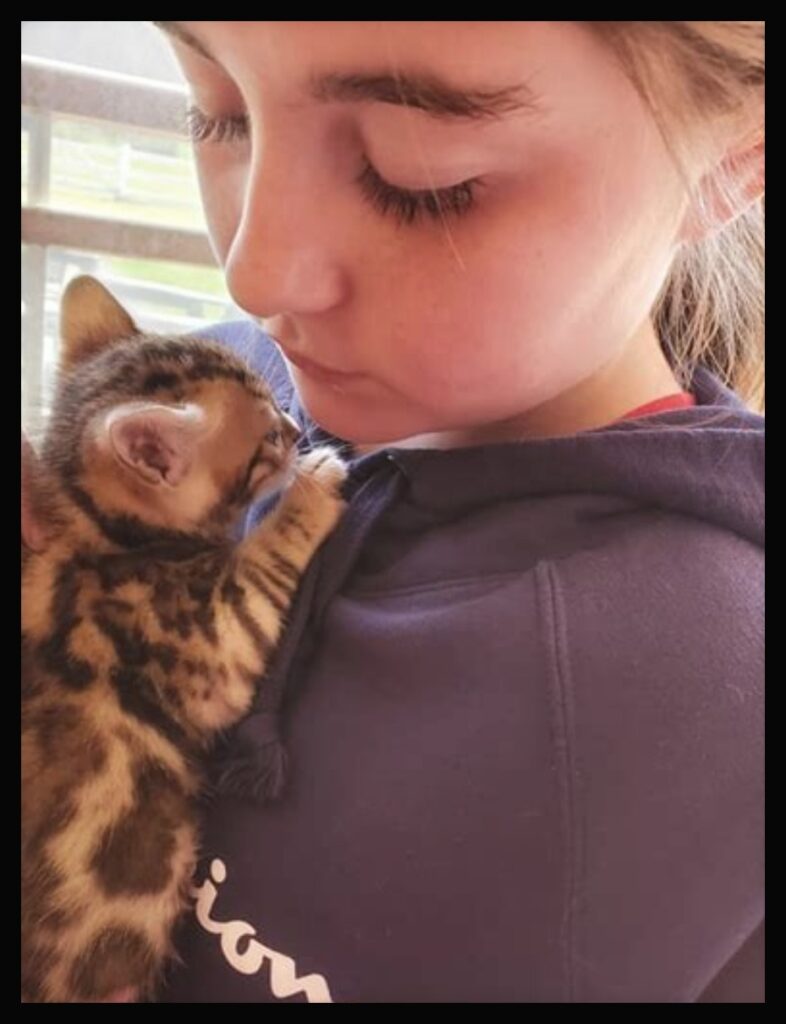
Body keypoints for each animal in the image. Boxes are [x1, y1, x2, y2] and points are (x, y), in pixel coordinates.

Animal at [22, 276, 347, 1003]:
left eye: (276, 410)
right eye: (266, 441)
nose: (295, 429)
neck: (102, 533)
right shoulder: (207, 633)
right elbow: (261, 565)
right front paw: (314, 485)